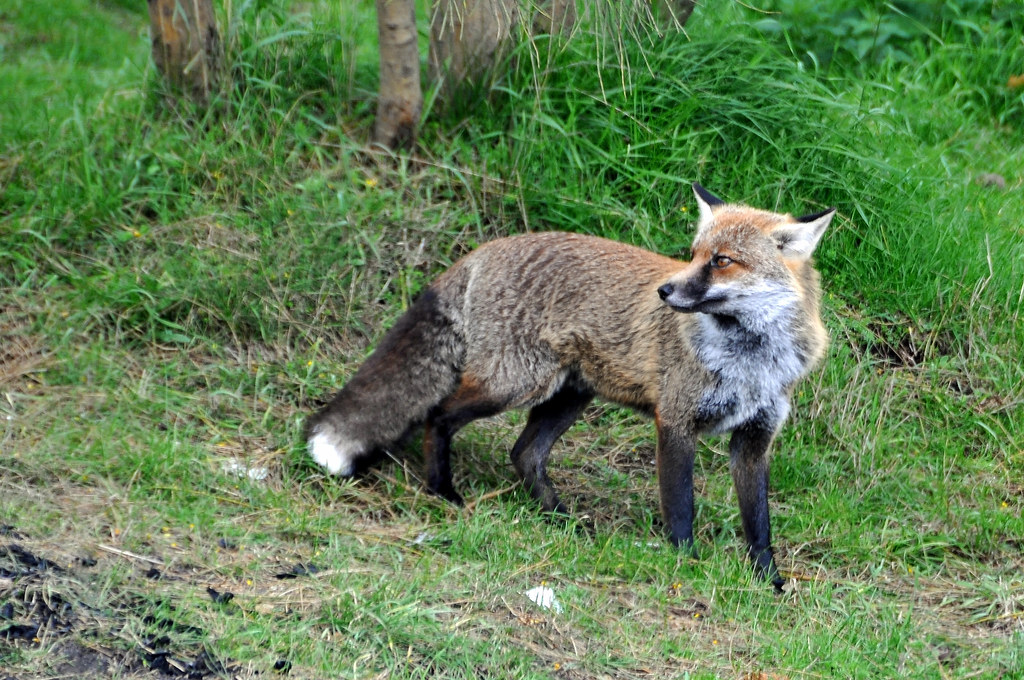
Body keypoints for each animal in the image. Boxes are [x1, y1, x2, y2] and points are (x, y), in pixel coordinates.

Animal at [307, 183, 834, 588]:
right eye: (693, 255)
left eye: (722, 261)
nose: (665, 291)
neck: (750, 360)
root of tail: (484, 249)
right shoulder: (676, 421)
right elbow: (681, 509)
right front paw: (686, 565)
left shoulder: (755, 439)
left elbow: (758, 524)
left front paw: (768, 581)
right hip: (514, 384)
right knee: (437, 417)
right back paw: (443, 492)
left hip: (569, 396)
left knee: (524, 453)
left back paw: (561, 519)